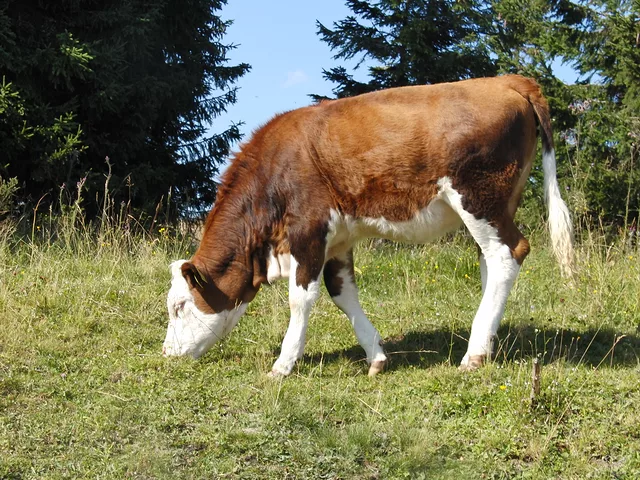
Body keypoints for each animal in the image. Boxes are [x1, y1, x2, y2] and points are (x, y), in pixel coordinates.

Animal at [163, 75, 574, 377]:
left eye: (180, 306)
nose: (167, 353)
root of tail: (506, 79)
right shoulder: (338, 239)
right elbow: (342, 294)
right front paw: (376, 355)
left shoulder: (309, 230)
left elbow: (301, 299)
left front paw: (283, 364)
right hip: (495, 207)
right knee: (491, 261)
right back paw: (486, 343)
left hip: (477, 197)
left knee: (508, 254)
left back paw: (473, 354)